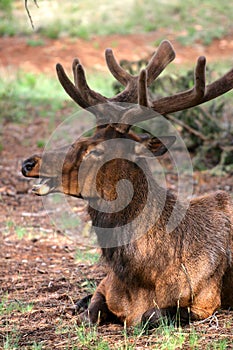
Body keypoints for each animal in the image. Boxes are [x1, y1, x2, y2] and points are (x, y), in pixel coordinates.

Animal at [22, 41, 233, 328]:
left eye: (95, 150)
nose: (28, 162)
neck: (143, 274)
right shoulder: (105, 285)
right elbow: (91, 312)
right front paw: (83, 307)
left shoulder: (206, 300)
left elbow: (151, 315)